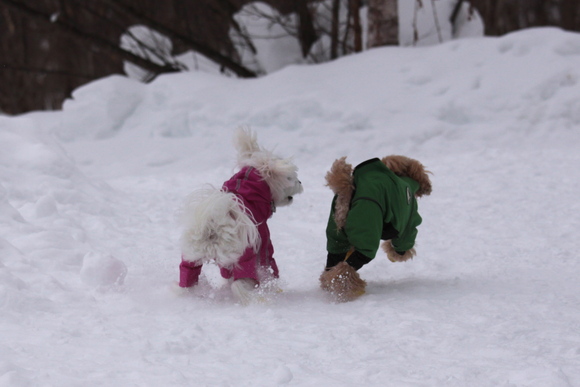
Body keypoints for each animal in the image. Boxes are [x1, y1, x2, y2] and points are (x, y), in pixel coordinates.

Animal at [177, 129, 304, 304]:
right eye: (291, 178)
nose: (301, 182)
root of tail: (214, 226)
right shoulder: (263, 243)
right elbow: (269, 264)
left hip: (191, 257)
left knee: (187, 276)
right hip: (244, 257)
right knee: (239, 285)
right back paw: (256, 298)